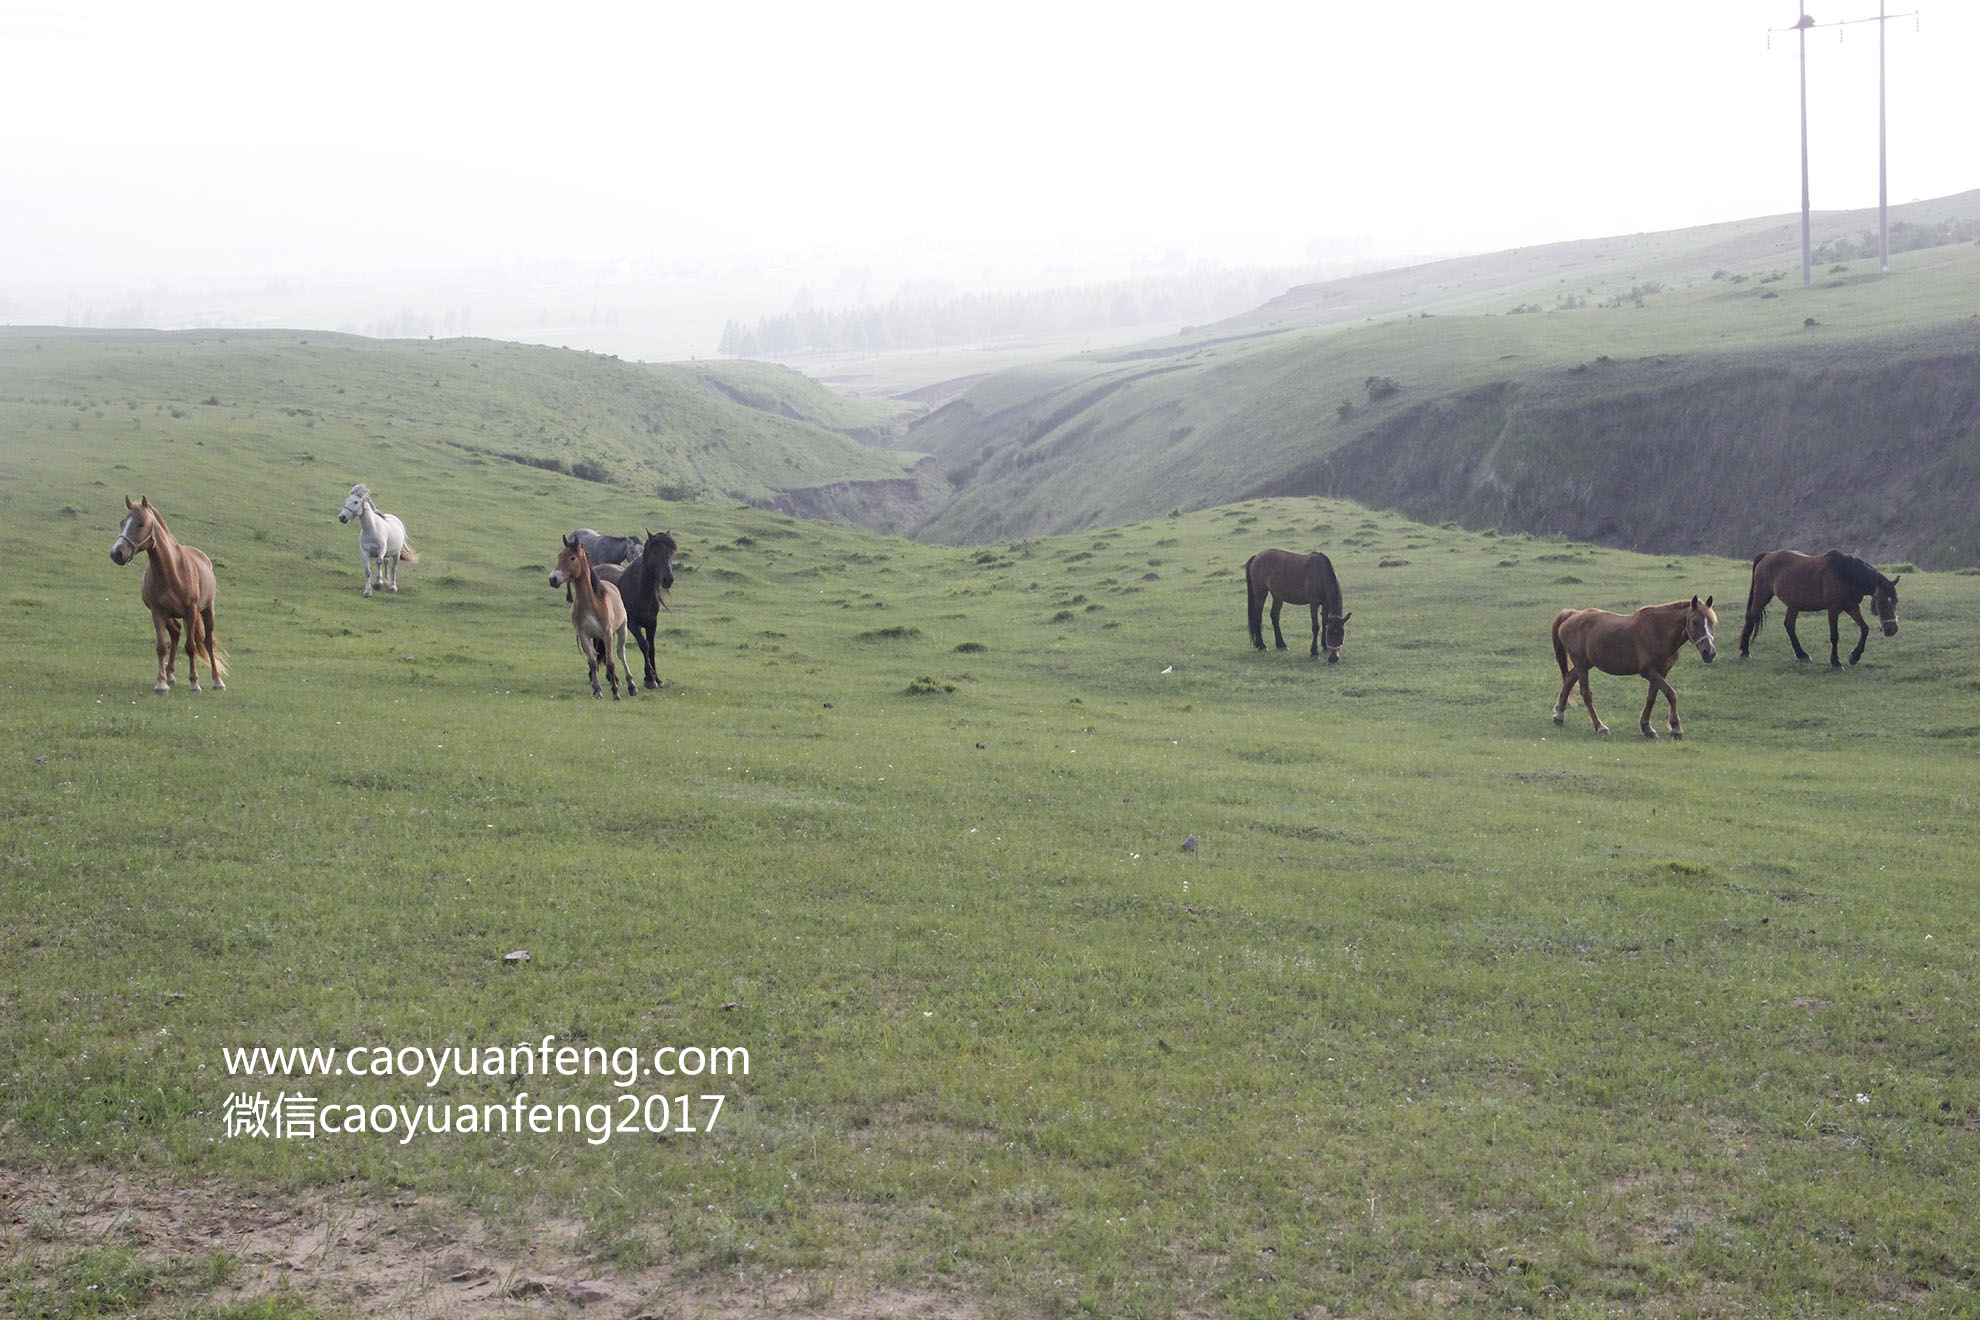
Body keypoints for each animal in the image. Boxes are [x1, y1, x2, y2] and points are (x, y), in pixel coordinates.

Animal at [109, 494, 226, 696]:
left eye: (140, 523)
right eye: (122, 522)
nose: (117, 553)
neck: (172, 572)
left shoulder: (190, 613)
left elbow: (191, 647)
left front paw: (194, 683)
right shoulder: (158, 612)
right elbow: (161, 647)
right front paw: (161, 683)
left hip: (206, 610)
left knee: (208, 642)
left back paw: (217, 681)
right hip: (170, 616)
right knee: (176, 633)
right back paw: (170, 674)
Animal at [546, 538, 629, 700]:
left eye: (572, 558)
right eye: (559, 555)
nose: (553, 579)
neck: (591, 603)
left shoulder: (607, 634)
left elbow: (611, 663)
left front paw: (615, 693)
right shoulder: (584, 634)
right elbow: (592, 662)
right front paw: (597, 690)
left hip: (621, 630)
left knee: (621, 653)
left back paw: (632, 685)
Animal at [1544, 601, 1718, 744]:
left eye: (1712, 622)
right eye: (1695, 622)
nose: (1709, 653)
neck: (1659, 630)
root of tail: (1572, 614)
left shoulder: (1661, 672)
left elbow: (1651, 698)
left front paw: (1647, 728)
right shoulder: (1648, 671)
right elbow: (1671, 694)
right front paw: (1676, 728)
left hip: (1586, 664)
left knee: (1568, 679)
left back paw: (1559, 715)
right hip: (1581, 664)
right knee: (1586, 694)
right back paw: (1600, 726)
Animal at [1742, 550, 1892, 672]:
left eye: (1895, 601)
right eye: (1882, 602)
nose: (1892, 629)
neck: (1845, 574)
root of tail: (1767, 555)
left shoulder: (1852, 607)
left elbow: (1864, 628)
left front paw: (1854, 656)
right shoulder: (1833, 610)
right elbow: (1834, 636)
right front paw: (1836, 662)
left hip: (1793, 604)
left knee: (1789, 625)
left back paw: (1802, 655)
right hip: (1762, 595)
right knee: (1751, 617)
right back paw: (1744, 652)